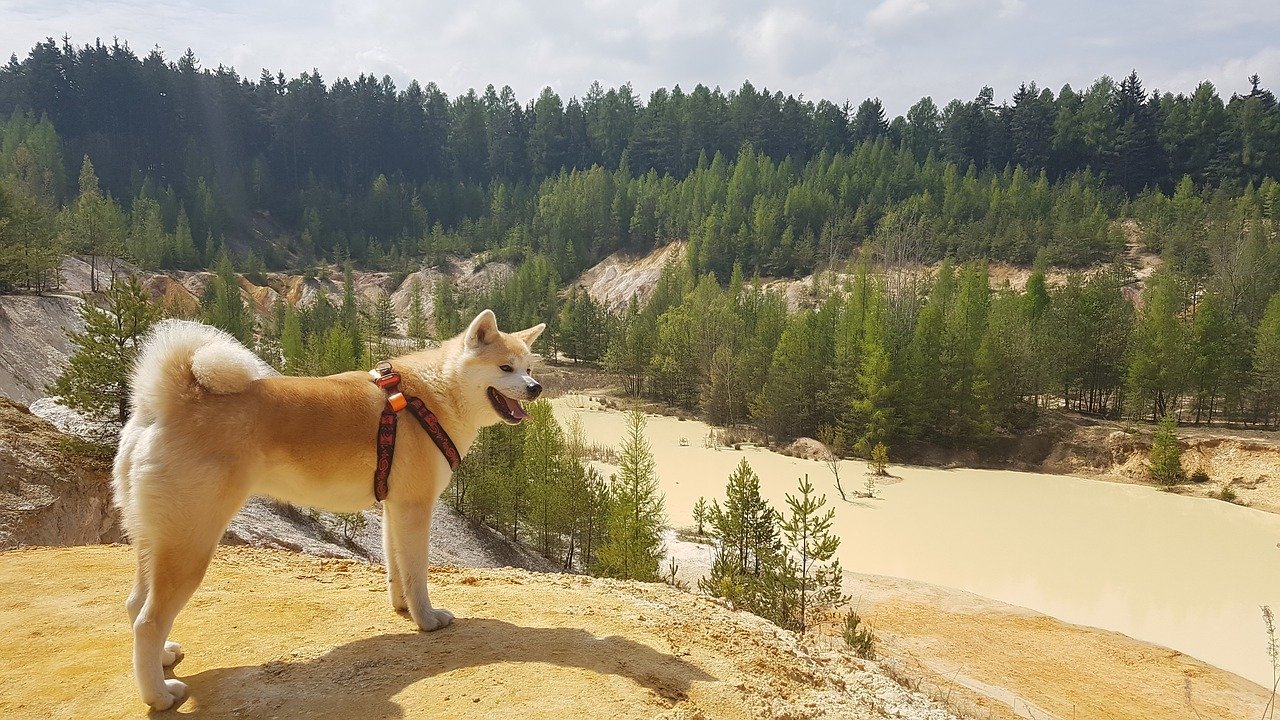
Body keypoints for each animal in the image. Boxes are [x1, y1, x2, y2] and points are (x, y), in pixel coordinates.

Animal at [111, 307, 545, 707]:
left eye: (529, 367)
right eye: (506, 367)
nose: (536, 387)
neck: (434, 395)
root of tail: (168, 403)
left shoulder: (394, 508)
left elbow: (397, 569)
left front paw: (403, 609)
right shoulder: (416, 507)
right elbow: (418, 573)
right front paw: (427, 619)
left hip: (156, 539)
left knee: (134, 604)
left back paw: (163, 659)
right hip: (190, 544)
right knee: (148, 621)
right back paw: (159, 694)